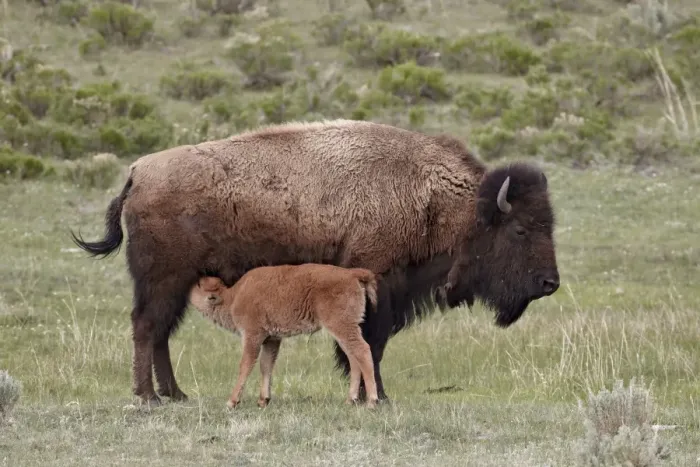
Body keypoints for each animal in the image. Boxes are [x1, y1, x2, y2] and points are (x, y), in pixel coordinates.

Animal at [70, 119, 560, 407]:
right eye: (520, 230)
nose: (550, 284)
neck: (437, 200)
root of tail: (137, 173)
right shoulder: (377, 286)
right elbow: (370, 344)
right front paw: (376, 396)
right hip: (163, 280)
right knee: (147, 328)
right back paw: (149, 397)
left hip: (178, 284)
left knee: (160, 333)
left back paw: (176, 394)